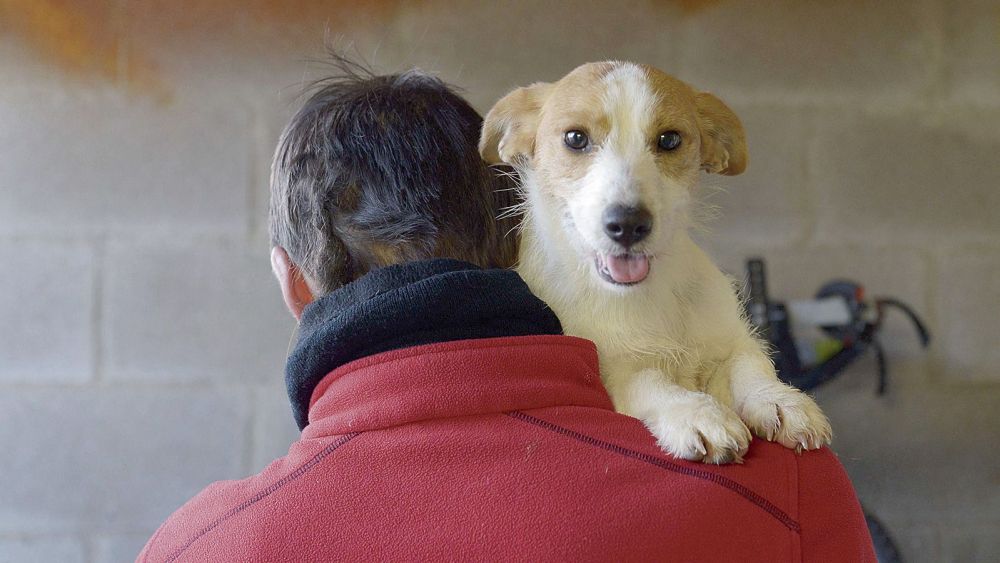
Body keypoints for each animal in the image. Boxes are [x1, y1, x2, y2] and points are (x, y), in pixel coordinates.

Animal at [480, 62, 832, 468]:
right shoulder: (614, 372)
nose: (628, 224)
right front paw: (697, 413)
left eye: (669, 140)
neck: (650, 295)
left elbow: (750, 364)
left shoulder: (727, 342)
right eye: (575, 138)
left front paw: (779, 400)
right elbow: (651, 382)